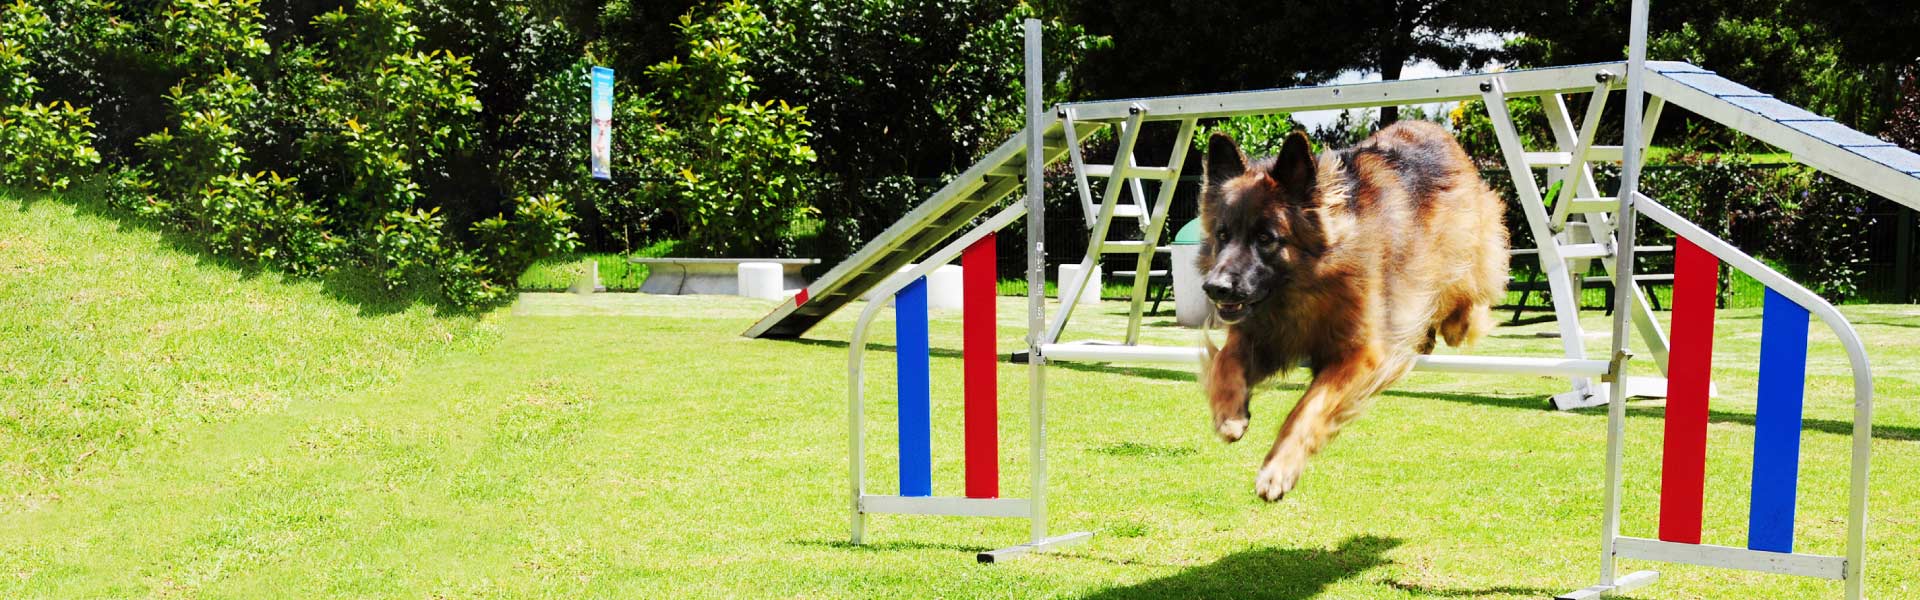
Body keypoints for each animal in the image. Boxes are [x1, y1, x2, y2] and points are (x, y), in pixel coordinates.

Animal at [1198, 120, 1497, 500]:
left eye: (1266, 238)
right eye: (1222, 235)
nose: (1214, 287)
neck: (1306, 287)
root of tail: (1430, 128)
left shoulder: (1359, 355)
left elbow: (1307, 408)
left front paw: (1278, 468)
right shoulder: (1260, 334)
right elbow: (1225, 360)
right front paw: (1229, 413)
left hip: (1456, 257)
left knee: (1466, 295)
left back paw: (1460, 323)